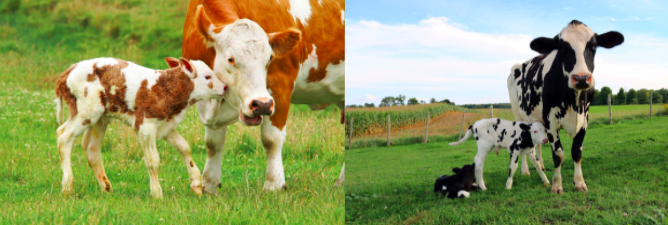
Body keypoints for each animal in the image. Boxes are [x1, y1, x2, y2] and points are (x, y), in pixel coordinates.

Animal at [55, 57, 227, 198]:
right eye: (207, 76)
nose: (225, 87)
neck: (164, 88)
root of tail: (67, 72)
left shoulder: (166, 125)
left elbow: (184, 148)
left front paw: (196, 184)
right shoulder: (146, 126)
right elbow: (153, 160)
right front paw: (157, 193)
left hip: (100, 117)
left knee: (91, 148)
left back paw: (106, 188)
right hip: (86, 111)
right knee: (63, 136)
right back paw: (68, 186)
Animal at [183, 0, 344, 193]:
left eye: (269, 59)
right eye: (230, 59)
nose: (261, 105)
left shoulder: (280, 86)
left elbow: (271, 139)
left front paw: (273, 184)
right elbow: (212, 143)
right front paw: (210, 184)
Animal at [508, 20, 624, 194]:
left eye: (593, 46)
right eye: (562, 48)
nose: (581, 78)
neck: (573, 101)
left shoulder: (584, 119)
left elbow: (577, 152)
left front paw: (579, 183)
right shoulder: (551, 121)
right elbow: (558, 154)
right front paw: (556, 185)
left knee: (538, 144)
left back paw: (541, 165)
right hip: (518, 114)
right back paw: (525, 170)